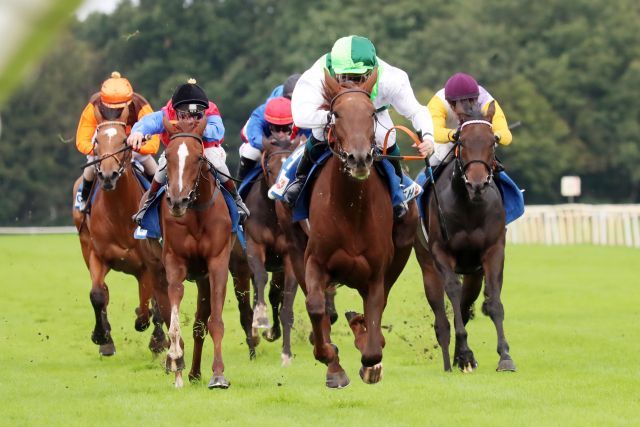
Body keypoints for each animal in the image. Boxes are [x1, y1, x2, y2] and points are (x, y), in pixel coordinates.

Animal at [71, 106, 169, 358]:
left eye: (124, 140)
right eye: (97, 141)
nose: (108, 175)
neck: (118, 214)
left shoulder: (146, 265)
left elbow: (147, 307)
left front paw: (157, 339)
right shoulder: (97, 256)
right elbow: (97, 294)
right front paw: (102, 337)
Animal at [159, 115, 235, 390]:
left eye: (199, 156)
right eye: (167, 155)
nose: (177, 201)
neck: (197, 214)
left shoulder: (217, 263)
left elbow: (216, 322)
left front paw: (218, 374)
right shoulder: (174, 261)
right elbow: (174, 308)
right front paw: (175, 361)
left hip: (204, 278)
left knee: (201, 323)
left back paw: (196, 372)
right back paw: (187, 372)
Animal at [286, 70, 418, 388]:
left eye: (371, 113)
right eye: (336, 114)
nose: (359, 158)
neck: (350, 211)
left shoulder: (376, 273)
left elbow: (373, 342)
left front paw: (370, 361)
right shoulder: (315, 261)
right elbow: (316, 306)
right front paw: (330, 360)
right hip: (295, 250)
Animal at [416, 102, 516, 372]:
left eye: (493, 141)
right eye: (461, 141)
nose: (477, 183)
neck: (470, 207)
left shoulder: (493, 251)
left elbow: (494, 301)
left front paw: (504, 356)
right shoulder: (441, 251)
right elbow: (452, 289)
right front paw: (465, 352)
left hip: (474, 272)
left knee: (464, 302)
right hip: (427, 264)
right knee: (441, 314)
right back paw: (450, 357)